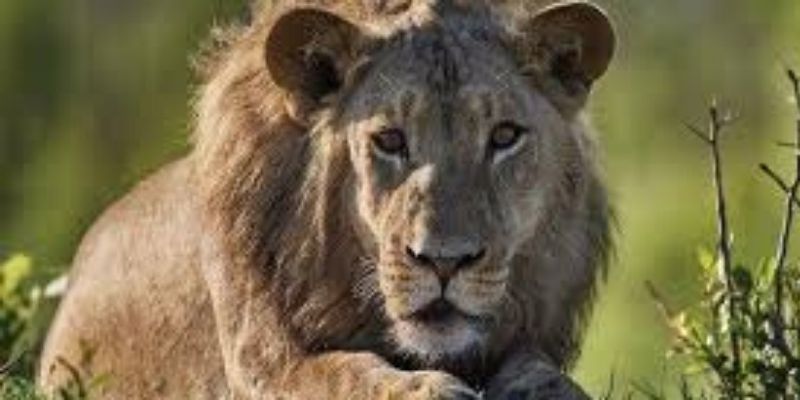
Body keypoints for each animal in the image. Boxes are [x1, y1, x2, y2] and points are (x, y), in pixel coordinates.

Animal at [38, 0, 616, 398]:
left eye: (504, 136)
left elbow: (543, 372)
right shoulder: (263, 363)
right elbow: (344, 372)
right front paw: (423, 388)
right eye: (389, 140)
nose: (444, 262)